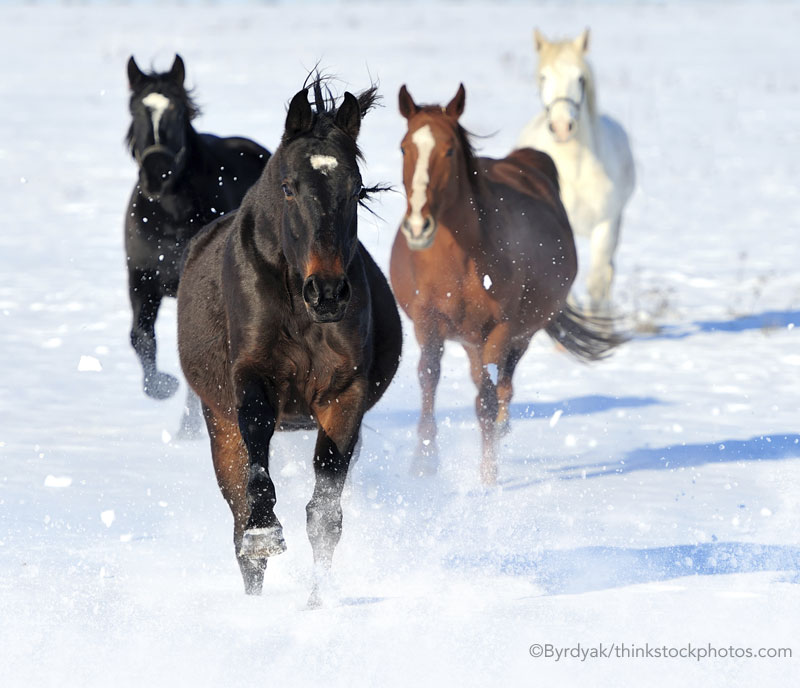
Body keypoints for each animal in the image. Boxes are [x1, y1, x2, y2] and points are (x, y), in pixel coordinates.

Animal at [125, 56, 268, 436]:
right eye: (135, 109)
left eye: (177, 111)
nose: (156, 173)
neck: (168, 218)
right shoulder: (141, 279)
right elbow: (140, 337)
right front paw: (162, 387)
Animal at [176, 76, 400, 600]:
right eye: (287, 187)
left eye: (356, 187)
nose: (328, 292)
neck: (299, 310)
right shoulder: (251, 378)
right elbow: (256, 462)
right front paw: (265, 531)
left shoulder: (345, 393)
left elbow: (325, 515)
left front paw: (318, 603)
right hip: (218, 423)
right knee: (237, 525)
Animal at [390, 84, 620, 484]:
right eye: (406, 147)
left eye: (449, 150)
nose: (418, 226)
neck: (461, 261)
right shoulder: (428, 324)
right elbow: (429, 380)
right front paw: (424, 463)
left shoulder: (500, 330)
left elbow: (487, 400)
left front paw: (487, 477)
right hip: (470, 339)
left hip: (517, 337)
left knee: (503, 389)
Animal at [516, 29, 636, 314]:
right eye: (543, 76)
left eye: (580, 78)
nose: (562, 126)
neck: (574, 171)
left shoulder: (606, 225)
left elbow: (597, 283)